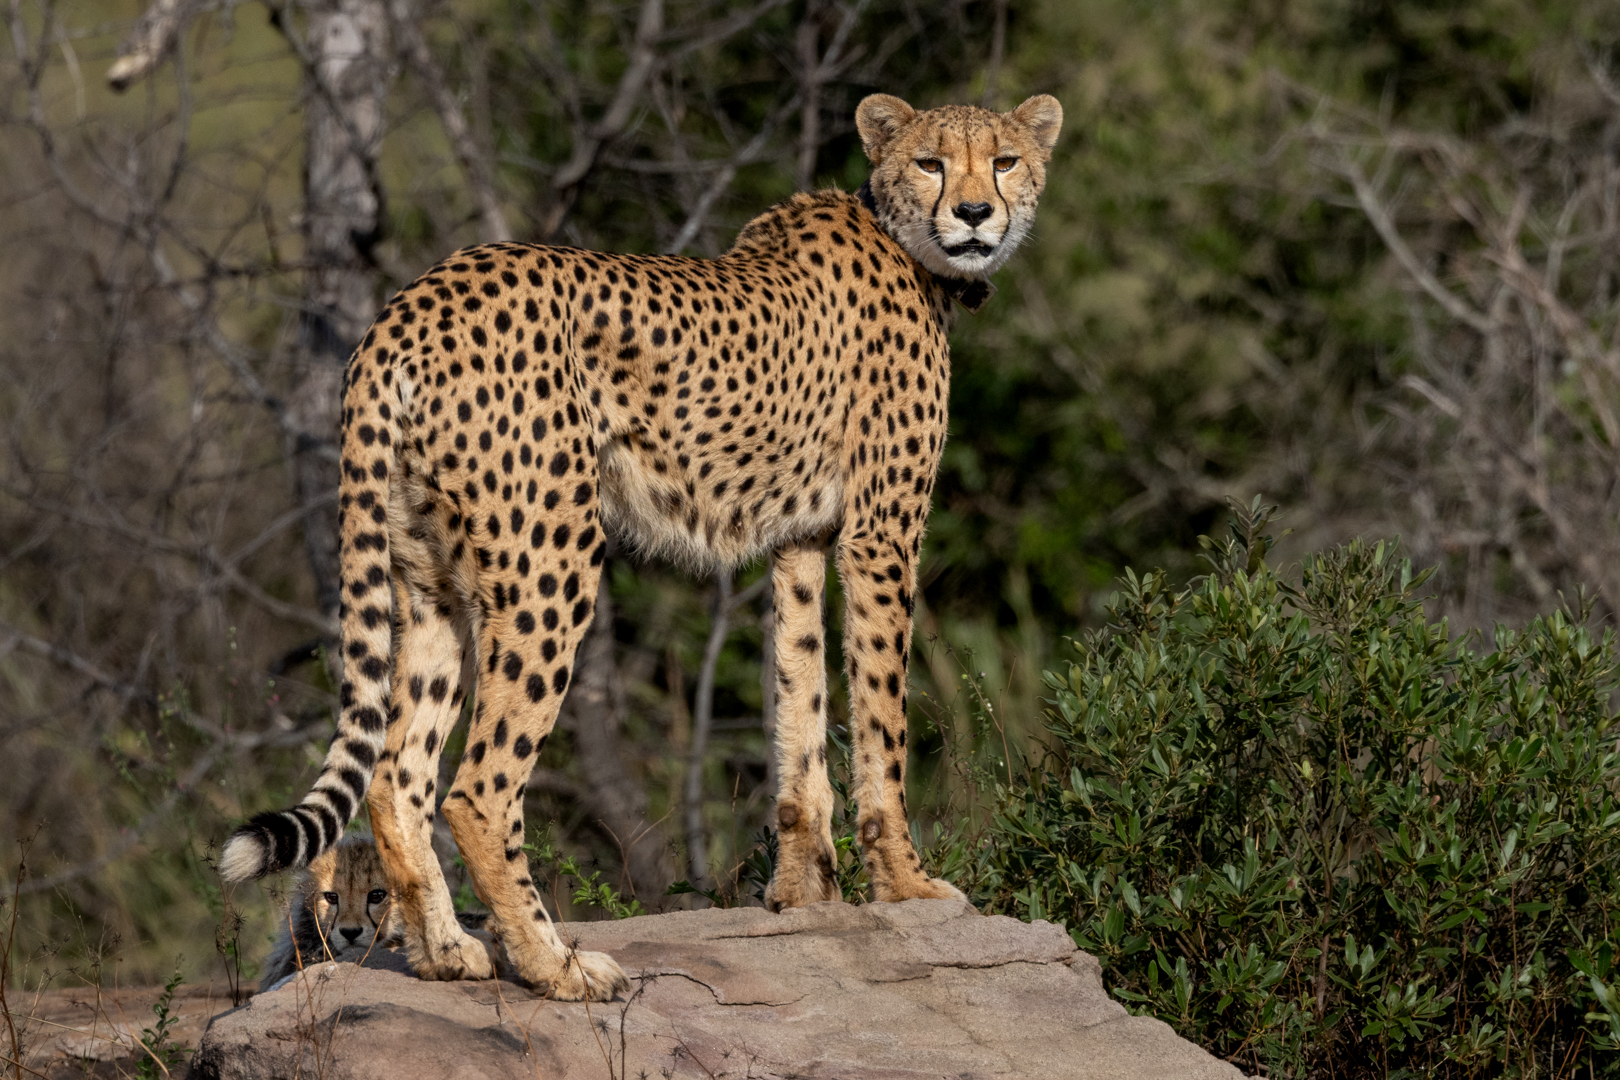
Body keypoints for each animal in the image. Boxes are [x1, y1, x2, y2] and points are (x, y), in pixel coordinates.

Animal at [221, 91, 1062, 1002]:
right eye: (931, 163)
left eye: (1005, 160)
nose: (975, 213)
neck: (904, 240)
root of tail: (411, 302)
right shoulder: (882, 531)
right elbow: (881, 715)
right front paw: (906, 884)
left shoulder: (800, 538)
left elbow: (798, 699)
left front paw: (802, 894)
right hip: (552, 556)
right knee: (478, 791)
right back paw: (556, 966)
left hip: (428, 576)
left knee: (395, 775)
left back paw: (448, 953)